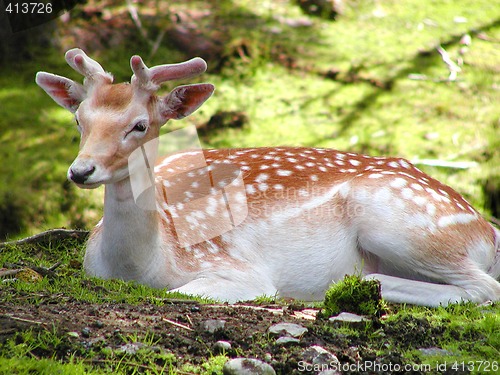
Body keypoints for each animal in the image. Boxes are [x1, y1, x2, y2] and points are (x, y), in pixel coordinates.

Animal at [36, 49, 500, 308]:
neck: (139, 267)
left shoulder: (238, 270)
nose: (81, 170)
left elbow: (181, 292)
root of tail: (487, 230)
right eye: (79, 120)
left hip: (401, 220)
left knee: (484, 289)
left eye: (140, 125)